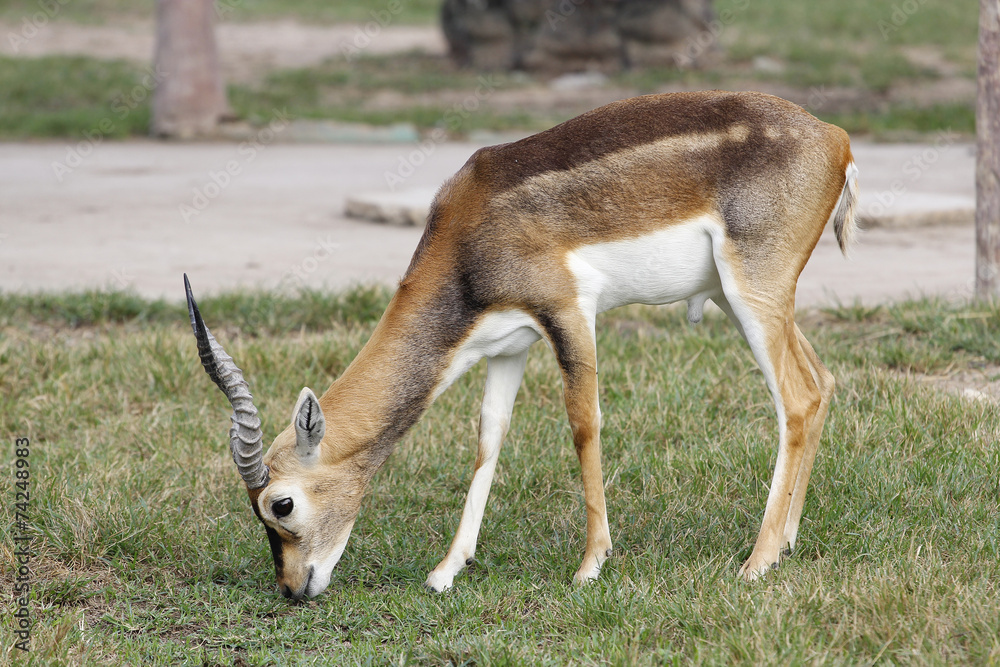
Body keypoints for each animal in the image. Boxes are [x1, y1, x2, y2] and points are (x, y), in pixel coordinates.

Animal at [186, 90, 860, 600]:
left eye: (281, 505)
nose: (292, 588)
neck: (469, 233)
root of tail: (835, 138)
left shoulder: (568, 312)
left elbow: (583, 423)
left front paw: (590, 565)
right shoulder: (508, 345)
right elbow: (489, 437)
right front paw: (446, 570)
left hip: (752, 293)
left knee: (796, 399)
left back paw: (757, 562)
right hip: (736, 297)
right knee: (822, 382)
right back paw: (787, 542)